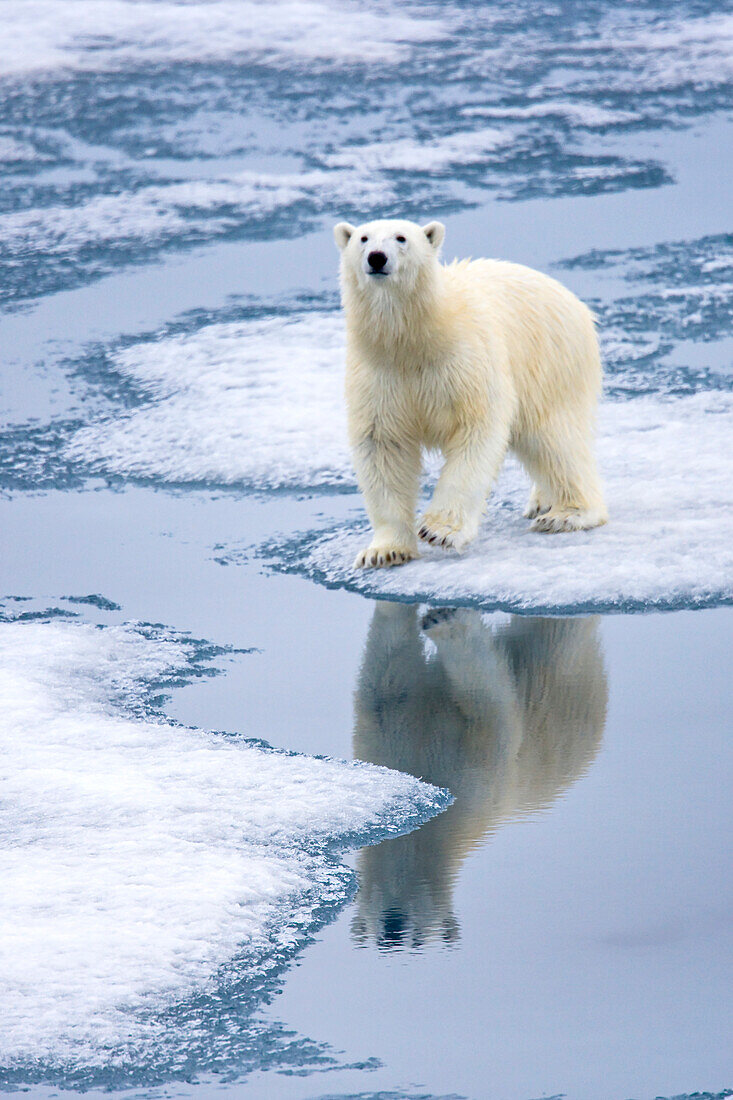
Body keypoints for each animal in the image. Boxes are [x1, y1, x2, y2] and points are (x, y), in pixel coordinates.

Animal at [332, 220, 603, 572]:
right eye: (363, 238)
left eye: (401, 238)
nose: (377, 257)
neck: (415, 340)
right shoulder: (379, 377)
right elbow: (382, 446)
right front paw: (384, 551)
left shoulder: (465, 362)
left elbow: (476, 432)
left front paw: (439, 531)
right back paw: (542, 502)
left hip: (550, 363)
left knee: (555, 440)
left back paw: (566, 514)